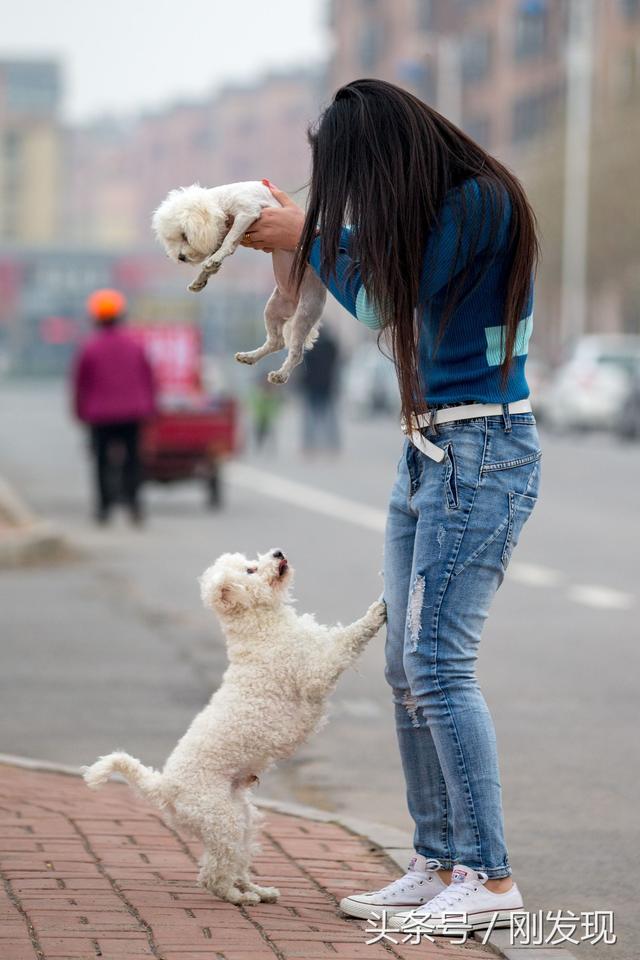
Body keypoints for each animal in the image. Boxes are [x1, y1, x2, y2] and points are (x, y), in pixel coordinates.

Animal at [84, 548, 384, 908]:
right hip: (222, 821)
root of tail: (164, 786)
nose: (278, 552)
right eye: (251, 569)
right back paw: (238, 897)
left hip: (243, 820)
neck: (261, 627)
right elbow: (349, 638)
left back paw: (259, 891)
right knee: (212, 875)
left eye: (253, 560)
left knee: (236, 863)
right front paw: (377, 612)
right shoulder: (315, 672)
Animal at [152, 183, 328, 382]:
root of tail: (293, 302)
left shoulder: (247, 213)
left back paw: (280, 375)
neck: (223, 200)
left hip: (305, 313)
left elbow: (228, 240)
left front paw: (214, 260)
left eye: (185, 235)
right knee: (276, 342)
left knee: (296, 353)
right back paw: (249, 357)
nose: (180, 257)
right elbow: (224, 248)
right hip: (273, 309)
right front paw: (201, 279)